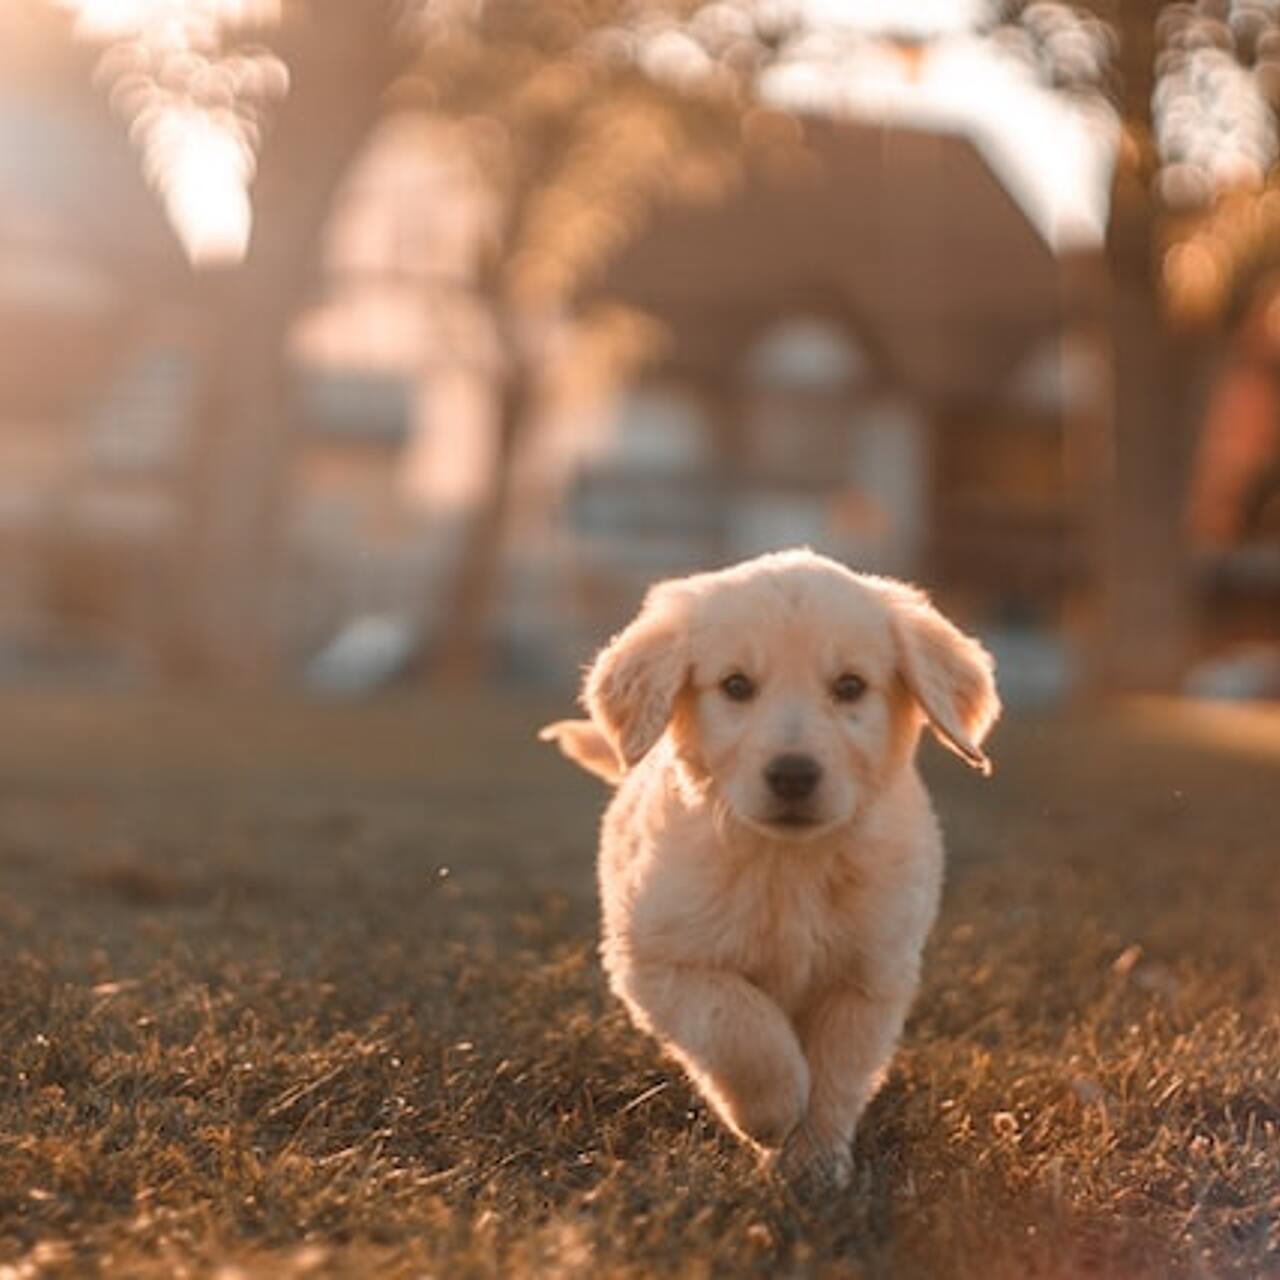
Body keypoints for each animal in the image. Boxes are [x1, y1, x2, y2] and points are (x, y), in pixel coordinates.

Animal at [540, 547, 998, 1187]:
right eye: (736, 686)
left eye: (850, 686)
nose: (793, 775)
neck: (789, 863)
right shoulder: (659, 960)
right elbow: (739, 1024)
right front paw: (772, 1112)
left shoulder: (868, 978)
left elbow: (835, 1076)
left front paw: (813, 1166)